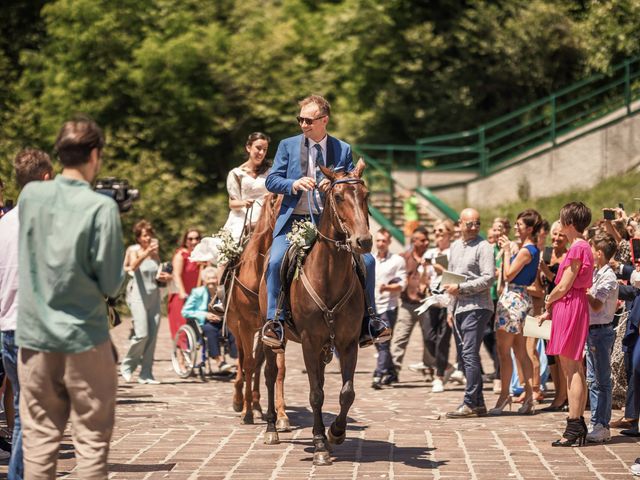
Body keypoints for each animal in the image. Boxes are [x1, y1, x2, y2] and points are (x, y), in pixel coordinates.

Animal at [222, 193, 288, 430]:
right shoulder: (245, 326)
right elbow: (248, 364)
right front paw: (246, 412)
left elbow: (278, 368)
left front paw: (281, 415)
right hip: (237, 328)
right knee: (243, 361)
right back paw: (240, 401)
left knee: (259, 362)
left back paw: (259, 405)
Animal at [258, 160, 370, 464]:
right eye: (339, 197)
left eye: (365, 196)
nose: (364, 241)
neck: (329, 275)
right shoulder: (309, 342)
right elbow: (316, 394)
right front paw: (320, 443)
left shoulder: (348, 343)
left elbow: (346, 393)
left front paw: (336, 432)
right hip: (271, 337)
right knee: (270, 375)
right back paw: (271, 428)